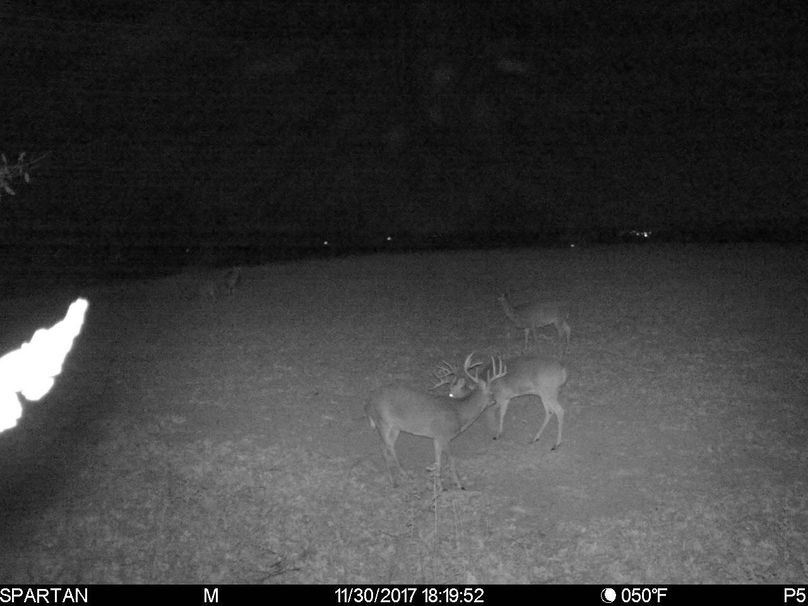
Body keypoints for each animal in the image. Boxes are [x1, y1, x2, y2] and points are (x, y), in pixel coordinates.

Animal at [365, 353, 507, 490]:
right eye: (491, 392)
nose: (495, 401)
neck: (460, 413)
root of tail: (368, 401)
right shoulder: (445, 436)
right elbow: (450, 461)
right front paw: (459, 485)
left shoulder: (437, 437)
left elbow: (438, 461)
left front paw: (440, 487)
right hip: (383, 422)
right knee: (383, 447)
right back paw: (393, 482)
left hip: (395, 427)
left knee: (390, 446)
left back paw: (405, 475)